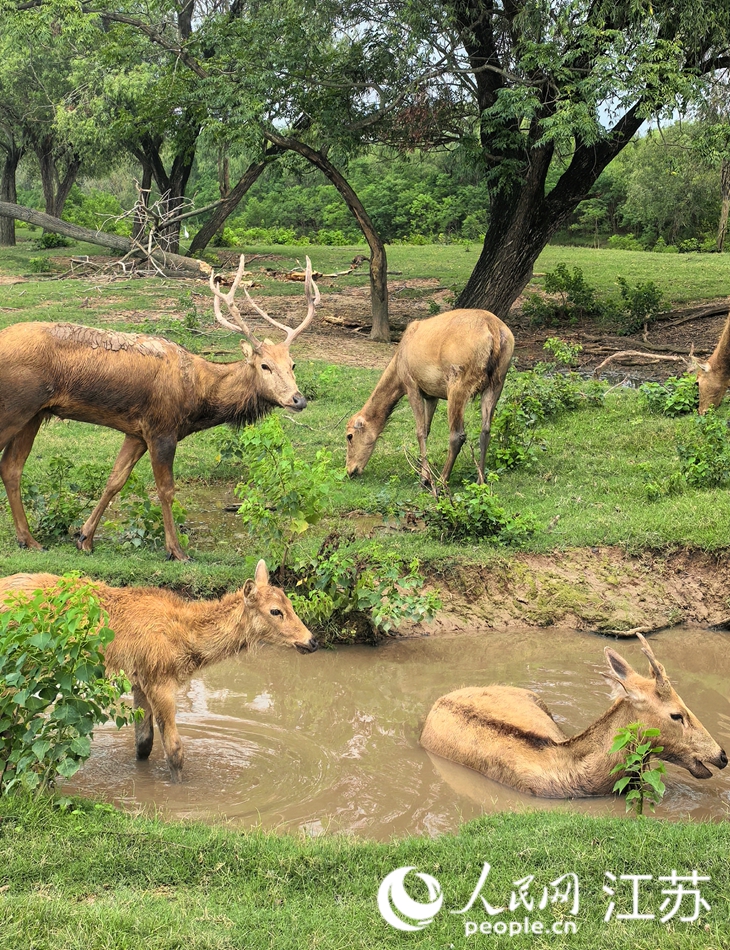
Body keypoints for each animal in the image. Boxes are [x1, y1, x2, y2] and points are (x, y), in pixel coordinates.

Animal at [0, 255, 319, 561]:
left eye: (292, 365)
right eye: (265, 365)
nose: (298, 399)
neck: (198, 399)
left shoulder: (136, 432)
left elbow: (115, 480)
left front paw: (84, 538)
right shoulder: (162, 428)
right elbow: (166, 489)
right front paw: (176, 550)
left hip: (34, 414)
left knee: (11, 467)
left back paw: (29, 539)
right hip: (16, 406)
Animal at [0, 560, 317, 782]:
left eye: (289, 603)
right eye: (276, 611)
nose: (311, 640)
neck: (189, 644)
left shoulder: (139, 679)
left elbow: (143, 742)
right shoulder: (160, 681)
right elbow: (175, 751)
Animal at [345, 309, 514, 486]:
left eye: (349, 436)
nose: (350, 470)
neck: (398, 369)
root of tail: (494, 330)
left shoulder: (412, 385)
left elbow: (419, 431)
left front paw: (425, 477)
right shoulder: (431, 395)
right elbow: (427, 429)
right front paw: (421, 469)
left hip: (458, 382)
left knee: (457, 435)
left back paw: (441, 482)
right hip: (497, 382)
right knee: (486, 430)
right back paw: (480, 480)